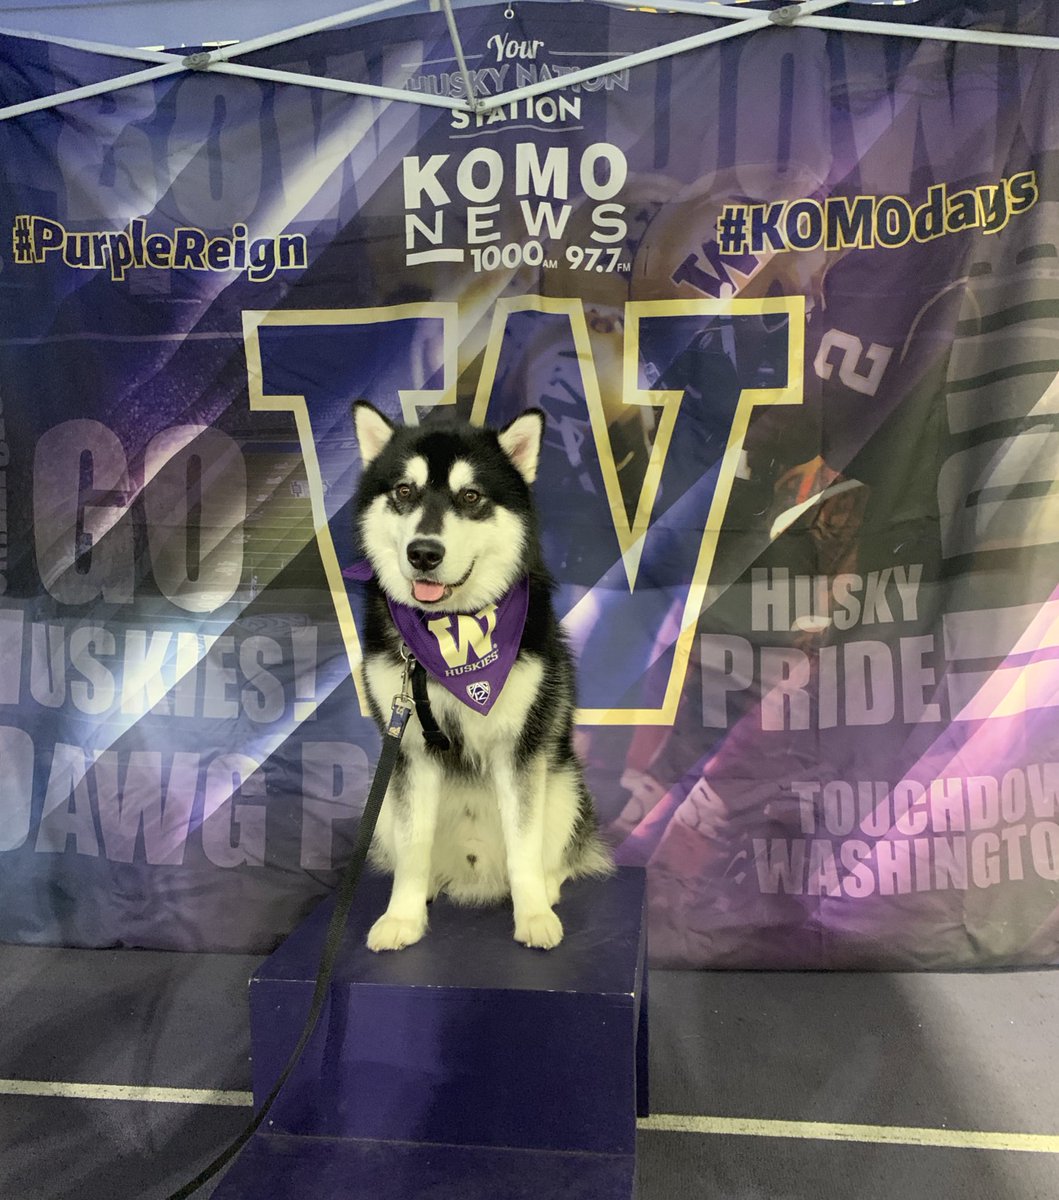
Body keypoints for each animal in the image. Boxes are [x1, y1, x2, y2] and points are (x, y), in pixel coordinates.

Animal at [351, 401, 612, 952]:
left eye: (470, 496)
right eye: (404, 491)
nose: (424, 553)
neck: (451, 634)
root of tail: (474, 874)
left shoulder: (519, 750)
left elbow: (524, 845)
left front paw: (532, 914)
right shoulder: (407, 752)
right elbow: (413, 846)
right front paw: (402, 917)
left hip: (564, 785)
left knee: (550, 854)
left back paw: (546, 888)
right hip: (379, 806)